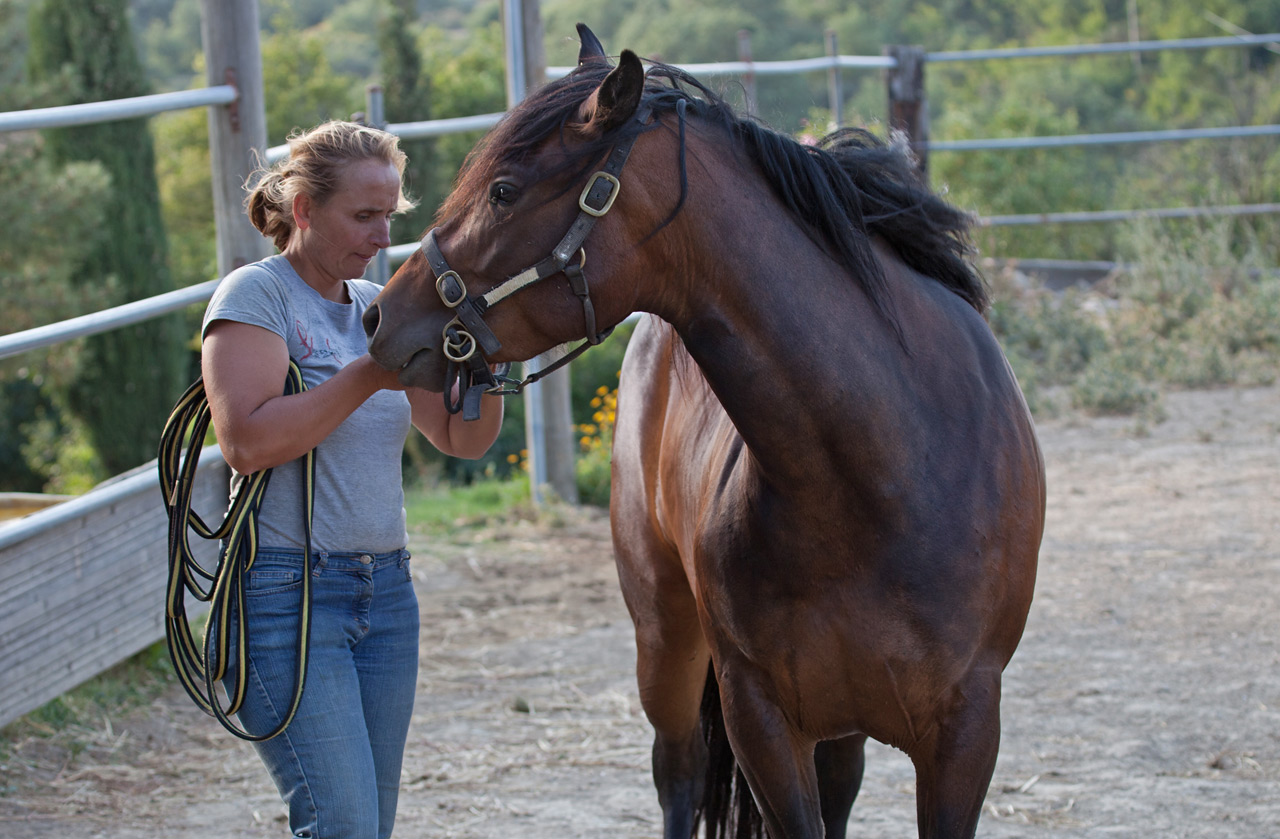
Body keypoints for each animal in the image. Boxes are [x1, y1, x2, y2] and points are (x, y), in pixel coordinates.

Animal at [363, 24, 1045, 839]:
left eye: (503, 191)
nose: (379, 317)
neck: (890, 471)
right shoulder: (762, 718)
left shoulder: (965, 729)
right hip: (666, 641)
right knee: (679, 774)